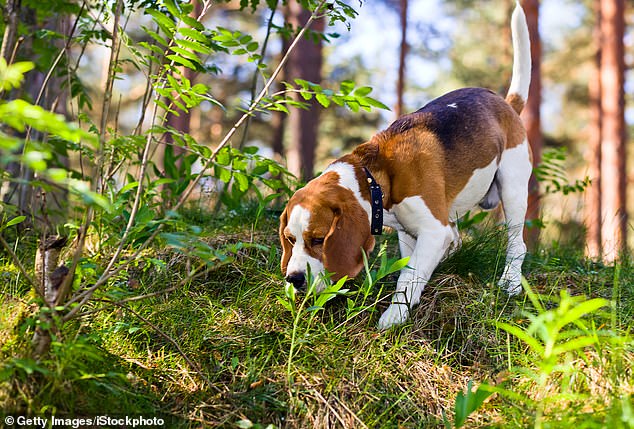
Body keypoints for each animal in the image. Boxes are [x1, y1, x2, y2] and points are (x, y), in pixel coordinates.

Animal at [278, 2, 532, 328]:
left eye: (319, 239)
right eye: (290, 239)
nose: (294, 278)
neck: (376, 177)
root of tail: (506, 104)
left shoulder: (433, 231)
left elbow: (408, 278)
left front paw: (394, 316)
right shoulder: (408, 233)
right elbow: (411, 269)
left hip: (513, 189)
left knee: (516, 243)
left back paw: (510, 281)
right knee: (458, 240)